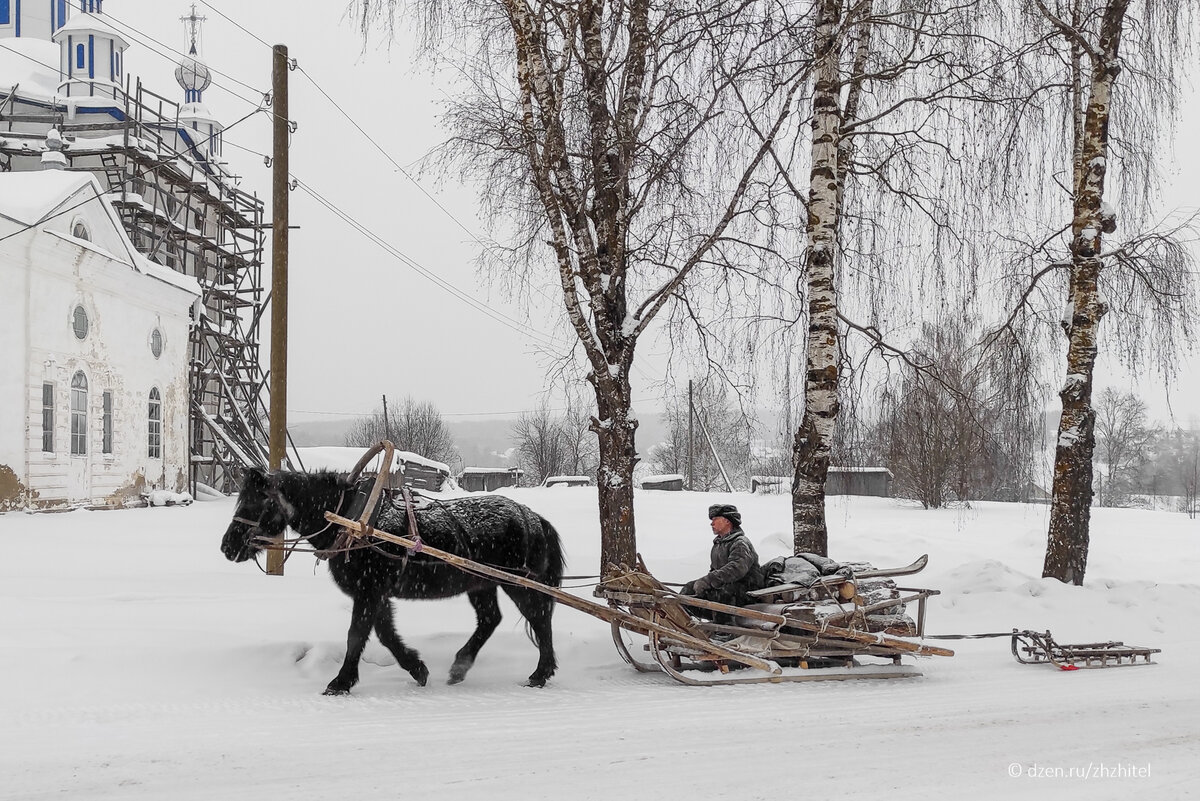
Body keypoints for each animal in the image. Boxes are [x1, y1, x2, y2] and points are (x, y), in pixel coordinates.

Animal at [219, 470, 561, 695]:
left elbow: (356, 635)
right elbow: (385, 634)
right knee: (491, 619)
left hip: (517, 582)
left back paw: (540, 674)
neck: (351, 520)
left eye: (256, 504)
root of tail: (532, 516)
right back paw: (460, 666)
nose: (227, 546)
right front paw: (417, 668)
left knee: (540, 619)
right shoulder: (375, 593)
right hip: (481, 583)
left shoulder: (369, 590)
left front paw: (340, 683)